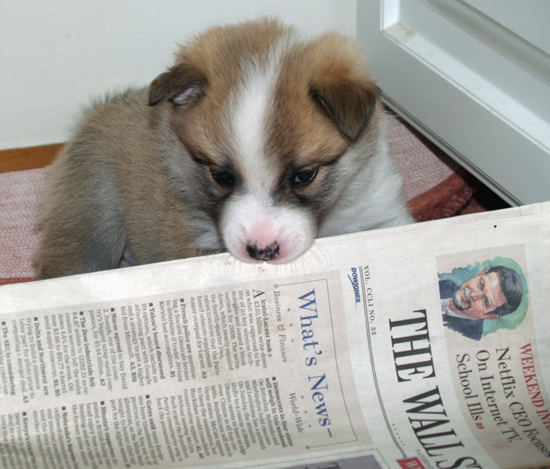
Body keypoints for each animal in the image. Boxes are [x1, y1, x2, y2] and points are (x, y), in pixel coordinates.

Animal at [34, 19, 414, 278]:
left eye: (305, 175)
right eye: (221, 176)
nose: (262, 250)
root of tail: (97, 111)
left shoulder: (382, 214)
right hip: (95, 218)